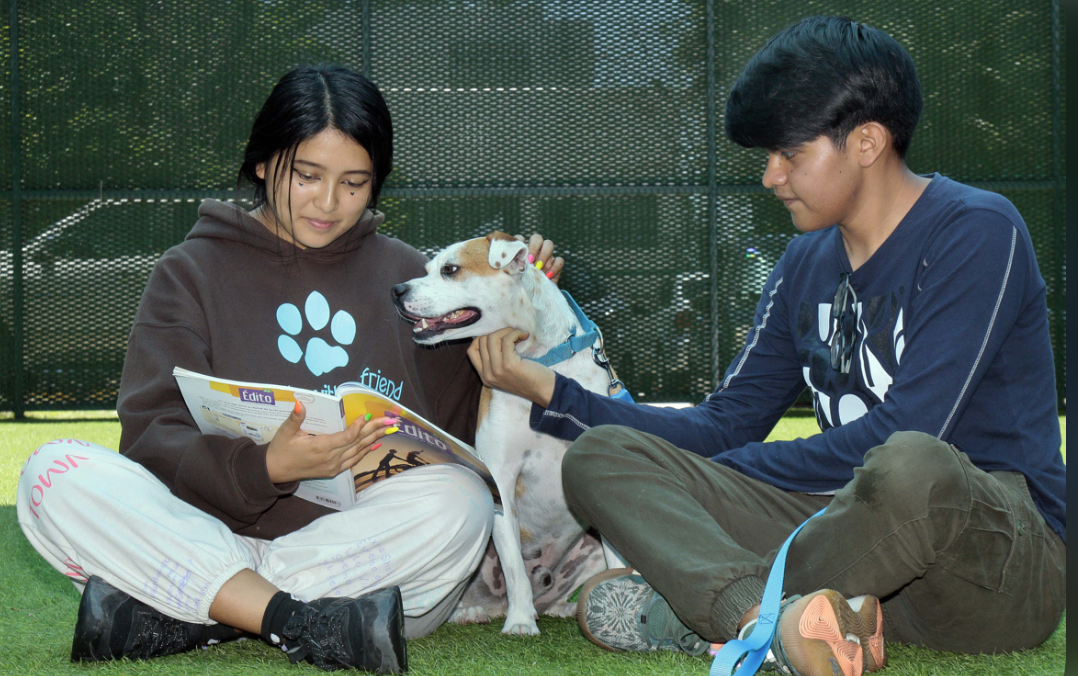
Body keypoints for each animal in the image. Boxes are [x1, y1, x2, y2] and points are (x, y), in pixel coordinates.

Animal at [392, 231, 620, 633]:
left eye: (450, 269)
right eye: (428, 268)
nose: (397, 290)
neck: (540, 363)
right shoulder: (500, 477)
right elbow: (513, 565)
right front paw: (520, 623)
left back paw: (563, 608)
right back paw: (475, 612)